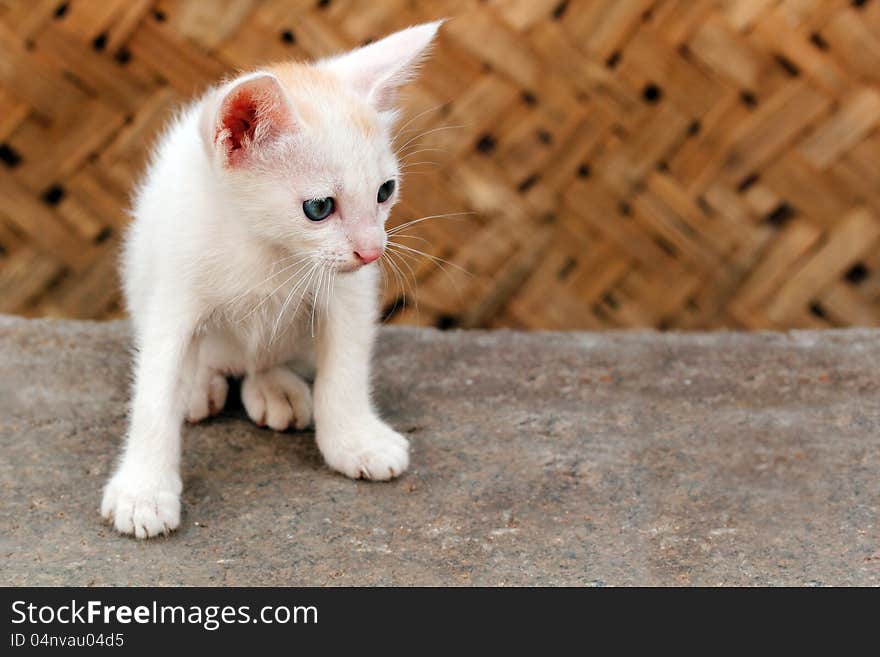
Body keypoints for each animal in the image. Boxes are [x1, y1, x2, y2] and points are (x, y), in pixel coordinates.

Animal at [100, 21, 444, 540]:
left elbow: (345, 367)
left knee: (264, 358)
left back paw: (273, 385)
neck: (266, 248)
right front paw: (143, 491)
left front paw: (354, 439)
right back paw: (199, 384)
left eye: (385, 191)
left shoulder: (349, 294)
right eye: (319, 208)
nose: (372, 250)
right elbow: (155, 389)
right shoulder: (172, 292)